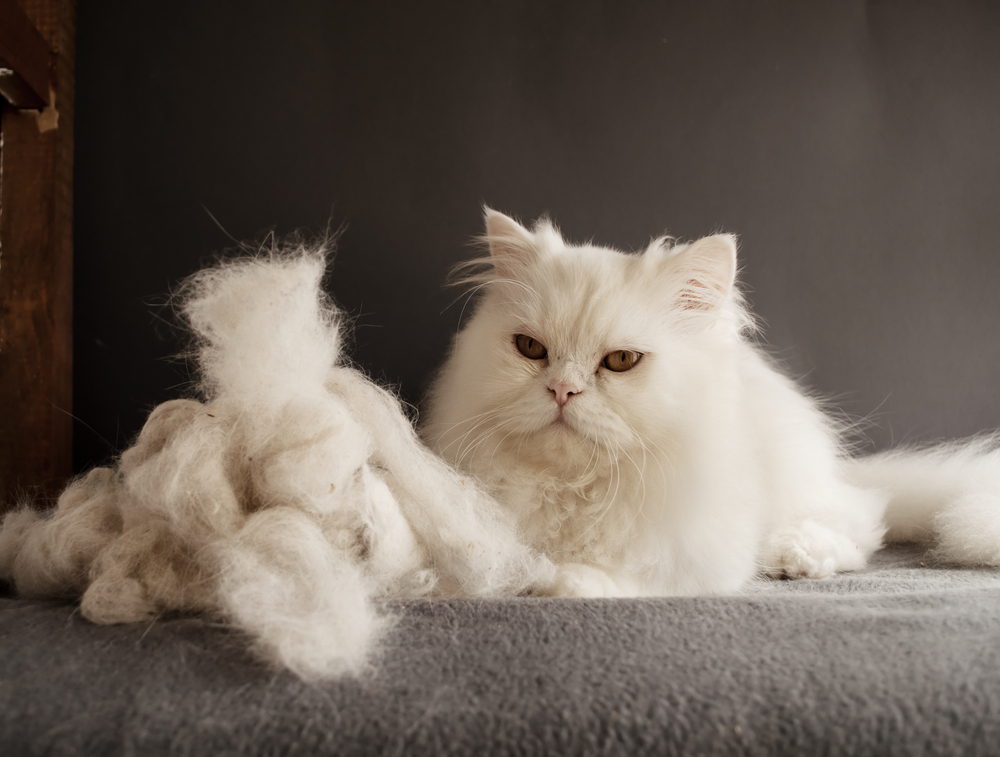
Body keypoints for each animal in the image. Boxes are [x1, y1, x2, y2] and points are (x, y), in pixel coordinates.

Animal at [420, 208, 1000, 596]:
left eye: (621, 361)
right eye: (531, 350)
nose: (562, 390)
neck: (576, 489)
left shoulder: (697, 559)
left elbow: (611, 579)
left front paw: (556, 579)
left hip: (803, 484)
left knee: (862, 516)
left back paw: (794, 555)